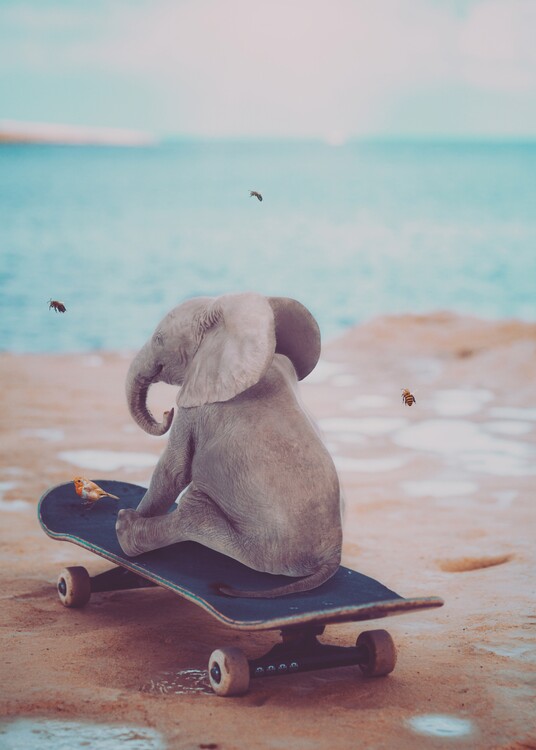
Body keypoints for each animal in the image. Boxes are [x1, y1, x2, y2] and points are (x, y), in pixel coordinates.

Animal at [116, 292, 343, 597]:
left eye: (159, 339)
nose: (166, 413)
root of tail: (333, 557)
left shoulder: (197, 406)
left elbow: (173, 471)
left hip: (262, 549)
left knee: (194, 511)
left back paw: (125, 530)